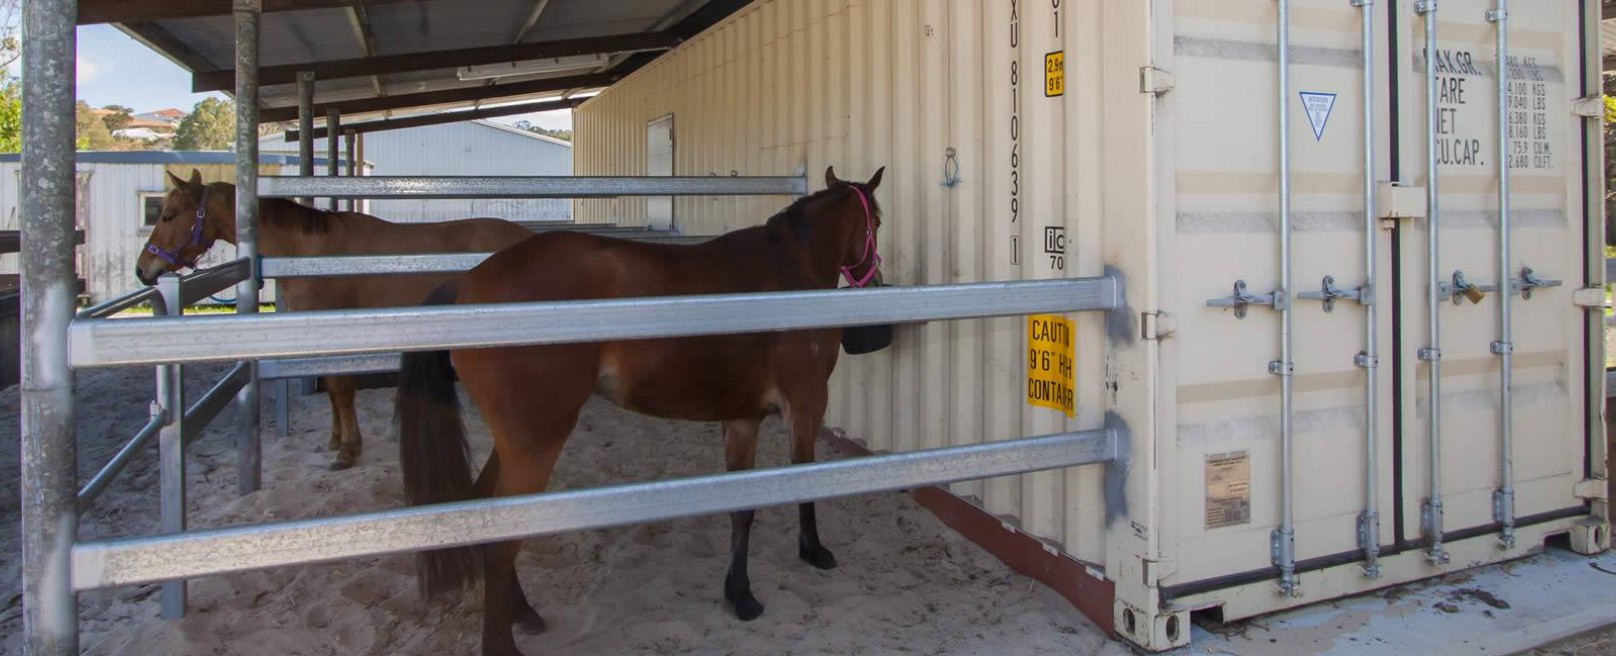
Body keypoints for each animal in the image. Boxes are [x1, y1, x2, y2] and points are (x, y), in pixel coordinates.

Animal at [135, 168, 533, 465]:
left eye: (168, 215)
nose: (142, 270)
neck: (308, 252)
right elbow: (330, 388)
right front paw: (335, 439)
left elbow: (341, 389)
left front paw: (348, 449)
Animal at [399, 166, 892, 656]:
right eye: (878, 221)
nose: (875, 280)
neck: (788, 271)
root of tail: (469, 285)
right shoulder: (806, 405)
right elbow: (805, 480)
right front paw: (814, 550)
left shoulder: (742, 418)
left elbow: (741, 507)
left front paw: (741, 594)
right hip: (534, 444)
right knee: (502, 539)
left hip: (516, 443)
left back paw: (524, 612)